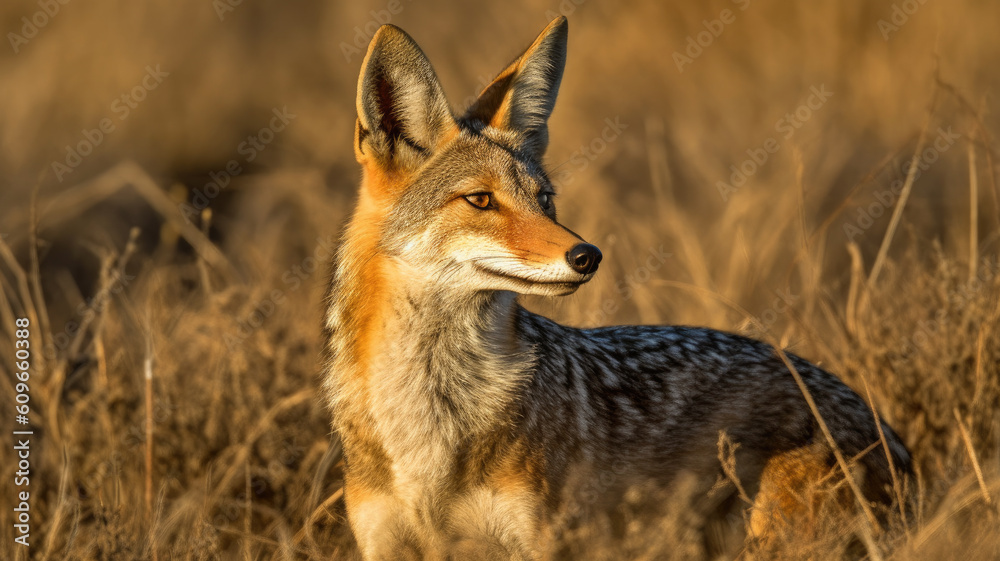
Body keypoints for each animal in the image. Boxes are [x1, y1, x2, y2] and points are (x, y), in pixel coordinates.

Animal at [323, 16, 911, 560]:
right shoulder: (385, 544)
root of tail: (889, 433)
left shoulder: (538, 543)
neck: (429, 428)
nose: (587, 256)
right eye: (481, 200)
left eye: (545, 200)